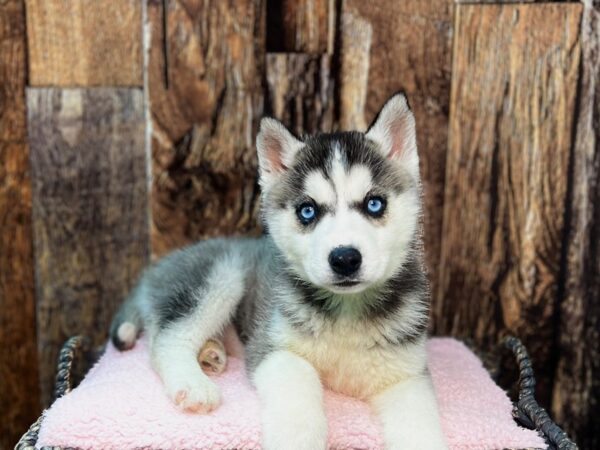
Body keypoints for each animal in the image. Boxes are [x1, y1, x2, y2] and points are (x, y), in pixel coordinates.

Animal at [111, 92, 446, 450]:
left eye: (374, 204)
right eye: (307, 211)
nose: (344, 259)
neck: (346, 311)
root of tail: (155, 269)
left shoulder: (406, 376)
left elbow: (421, 427)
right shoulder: (274, 349)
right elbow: (299, 394)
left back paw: (212, 353)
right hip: (222, 275)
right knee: (167, 340)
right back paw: (193, 384)